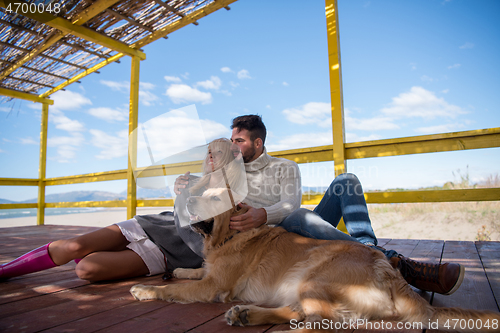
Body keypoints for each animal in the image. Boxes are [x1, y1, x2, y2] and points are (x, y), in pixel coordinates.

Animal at [132, 188, 500, 330]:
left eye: (215, 197)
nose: (186, 197)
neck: (227, 236)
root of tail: (389, 272)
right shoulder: (208, 275)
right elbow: (190, 272)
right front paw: (177, 269)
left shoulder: (214, 286)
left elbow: (175, 290)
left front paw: (146, 290)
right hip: (303, 285)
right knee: (300, 314)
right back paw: (246, 314)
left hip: (313, 276)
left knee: (319, 322)